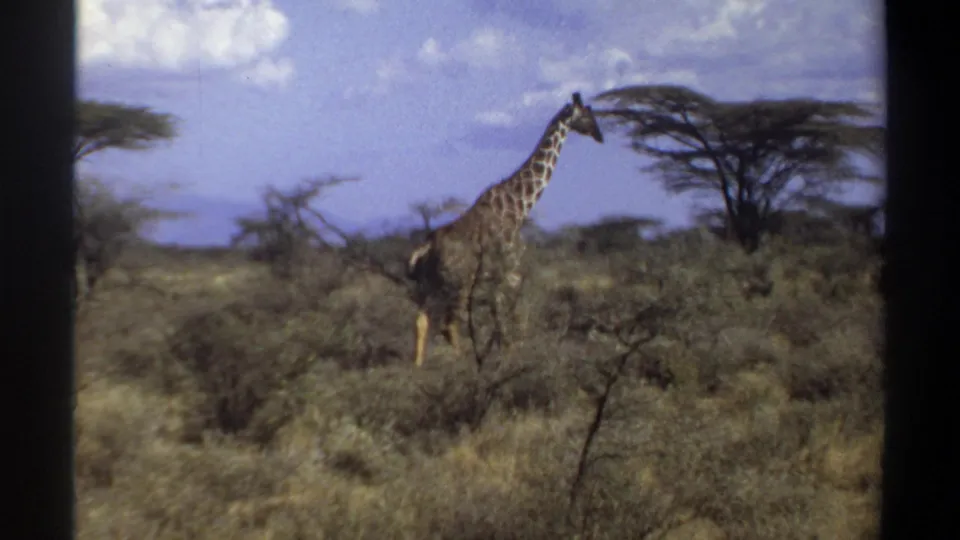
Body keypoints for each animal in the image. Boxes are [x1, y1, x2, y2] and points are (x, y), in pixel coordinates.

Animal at [407, 92, 604, 367]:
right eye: (587, 114)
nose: (600, 135)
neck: (519, 206)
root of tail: (424, 249)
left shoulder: (497, 279)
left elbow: (501, 322)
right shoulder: (510, 272)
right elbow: (509, 323)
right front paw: (510, 361)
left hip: (428, 286)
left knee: (421, 321)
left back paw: (418, 368)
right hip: (459, 284)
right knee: (448, 325)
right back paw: (464, 364)